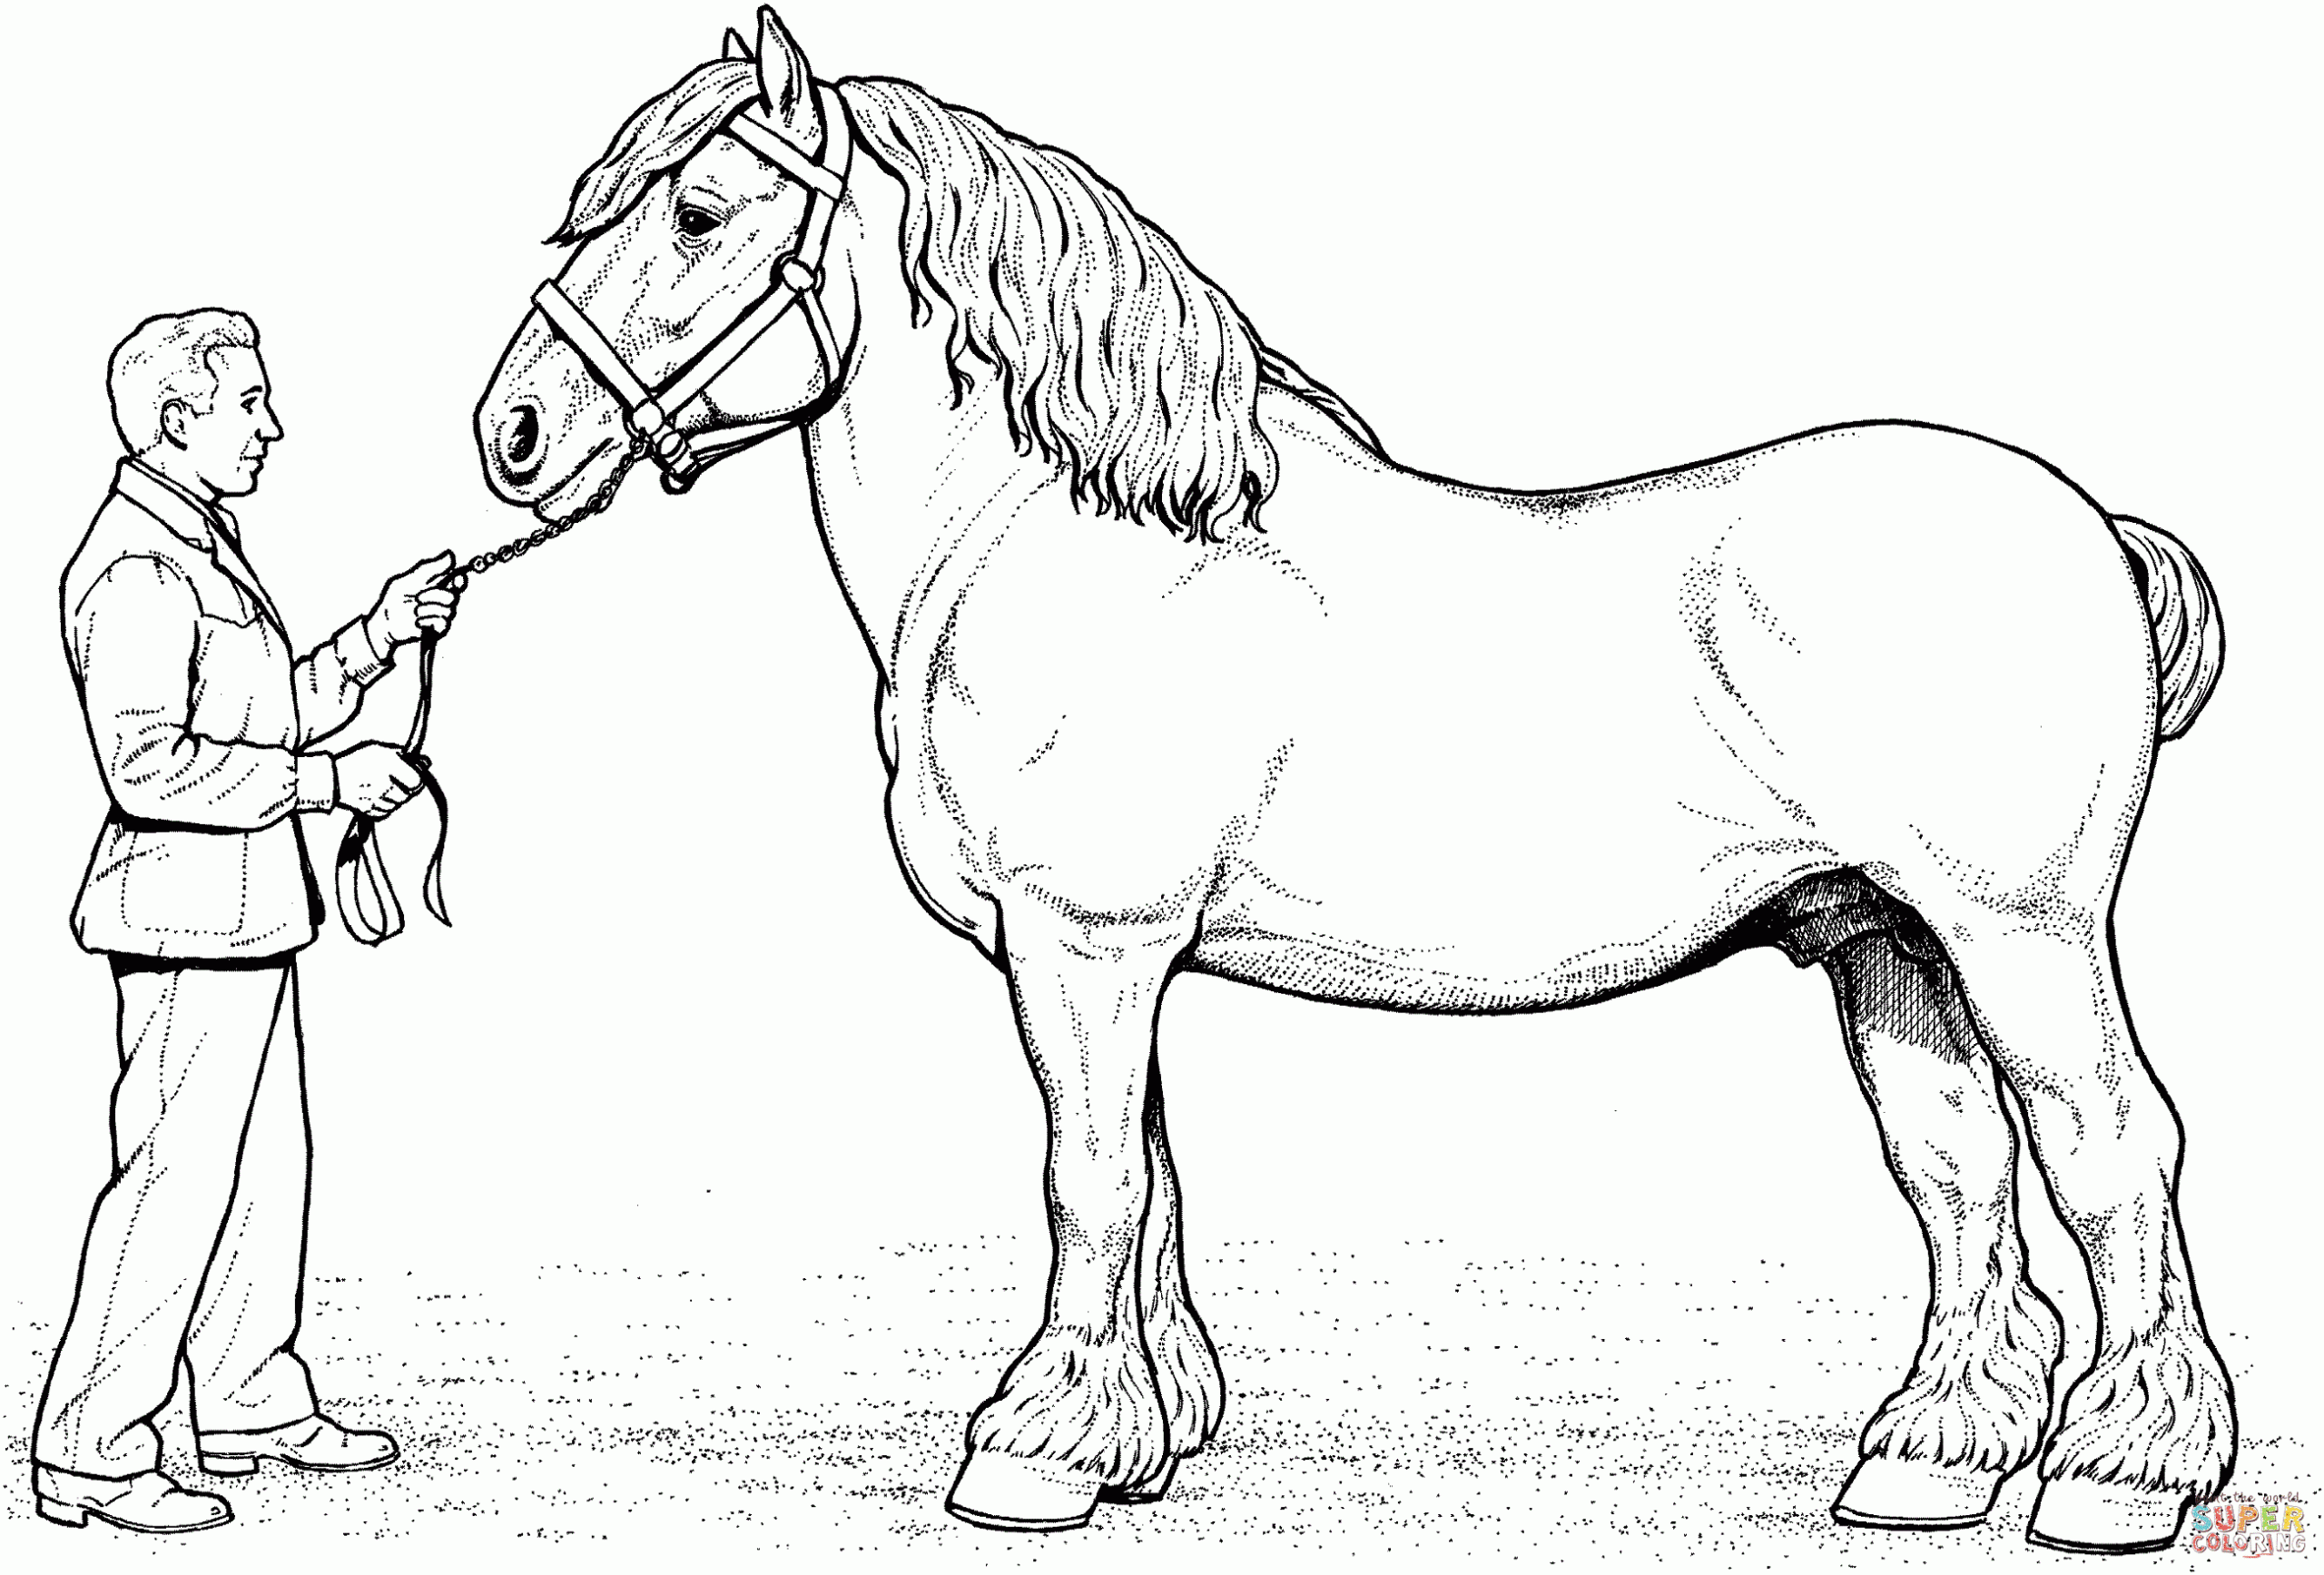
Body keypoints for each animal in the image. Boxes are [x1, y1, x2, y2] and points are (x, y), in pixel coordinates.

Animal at [472, 8, 2232, 1553]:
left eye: (699, 211)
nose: (515, 433)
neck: (1078, 547)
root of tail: (2092, 528)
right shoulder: (1117, 960)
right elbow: (1152, 1185)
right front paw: (1135, 1441)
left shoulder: (1086, 944)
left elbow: (1088, 1184)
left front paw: (1030, 1454)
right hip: (1886, 942)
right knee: (1958, 1168)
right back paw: (1928, 1466)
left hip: (2017, 937)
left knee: (2111, 1149)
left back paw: (2117, 1482)